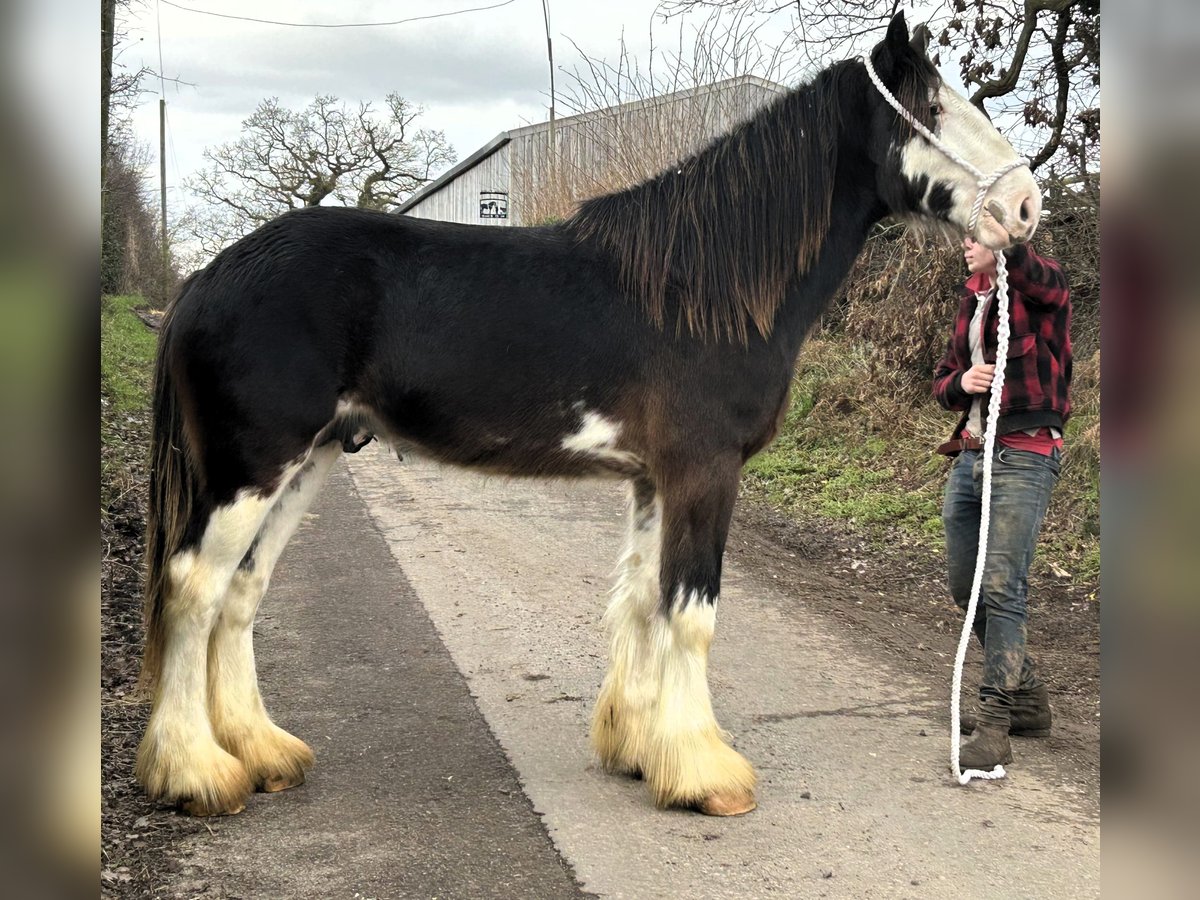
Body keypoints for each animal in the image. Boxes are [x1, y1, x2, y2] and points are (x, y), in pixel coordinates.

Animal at [138, 10, 1041, 820]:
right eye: (933, 109)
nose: (1027, 206)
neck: (701, 288)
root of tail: (209, 278)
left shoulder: (652, 480)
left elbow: (641, 602)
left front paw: (640, 750)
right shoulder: (703, 473)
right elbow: (691, 613)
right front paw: (705, 775)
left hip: (311, 460)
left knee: (242, 590)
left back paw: (261, 754)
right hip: (250, 470)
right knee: (193, 588)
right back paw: (197, 774)